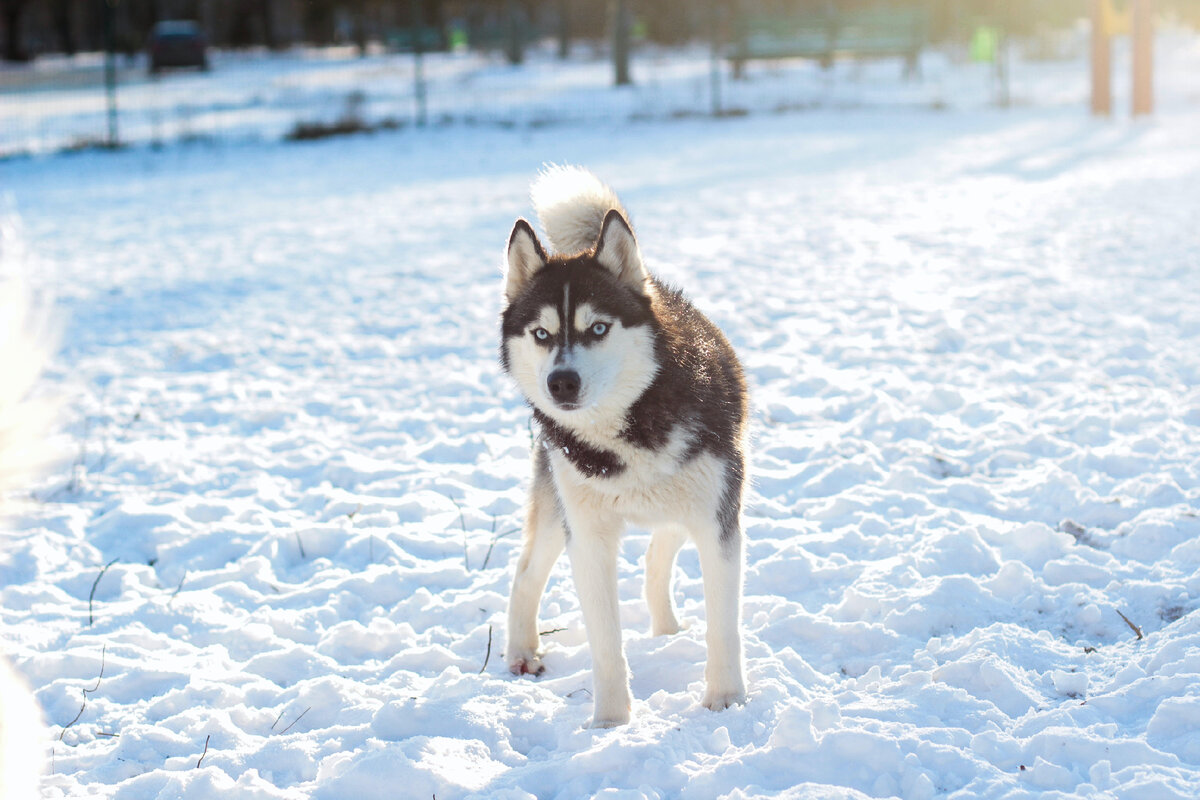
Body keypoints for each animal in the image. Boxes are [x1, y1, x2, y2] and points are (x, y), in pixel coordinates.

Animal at [499, 165, 748, 729]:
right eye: (541, 333)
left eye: (597, 328)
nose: (561, 383)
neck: (628, 429)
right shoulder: (588, 537)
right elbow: (606, 644)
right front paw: (611, 722)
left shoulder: (717, 519)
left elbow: (722, 625)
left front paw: (726, 700)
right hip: (559, 506)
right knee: (525, 573)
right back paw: (522, 652)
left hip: (692, 499)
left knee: (659, 553)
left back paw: (666, 629)